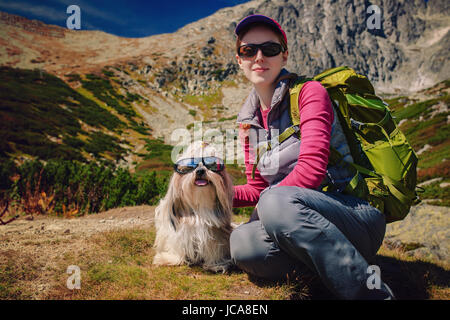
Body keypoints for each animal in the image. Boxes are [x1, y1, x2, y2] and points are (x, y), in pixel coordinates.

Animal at [153, 141, 234, 272]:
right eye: (190, 167)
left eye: (211, 165)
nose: (200, 171)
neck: (199, 206)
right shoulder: (179, 230)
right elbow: (177, 244)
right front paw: (171, 259)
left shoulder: (214, 232)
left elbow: (214, 246)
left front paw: (216, 264)